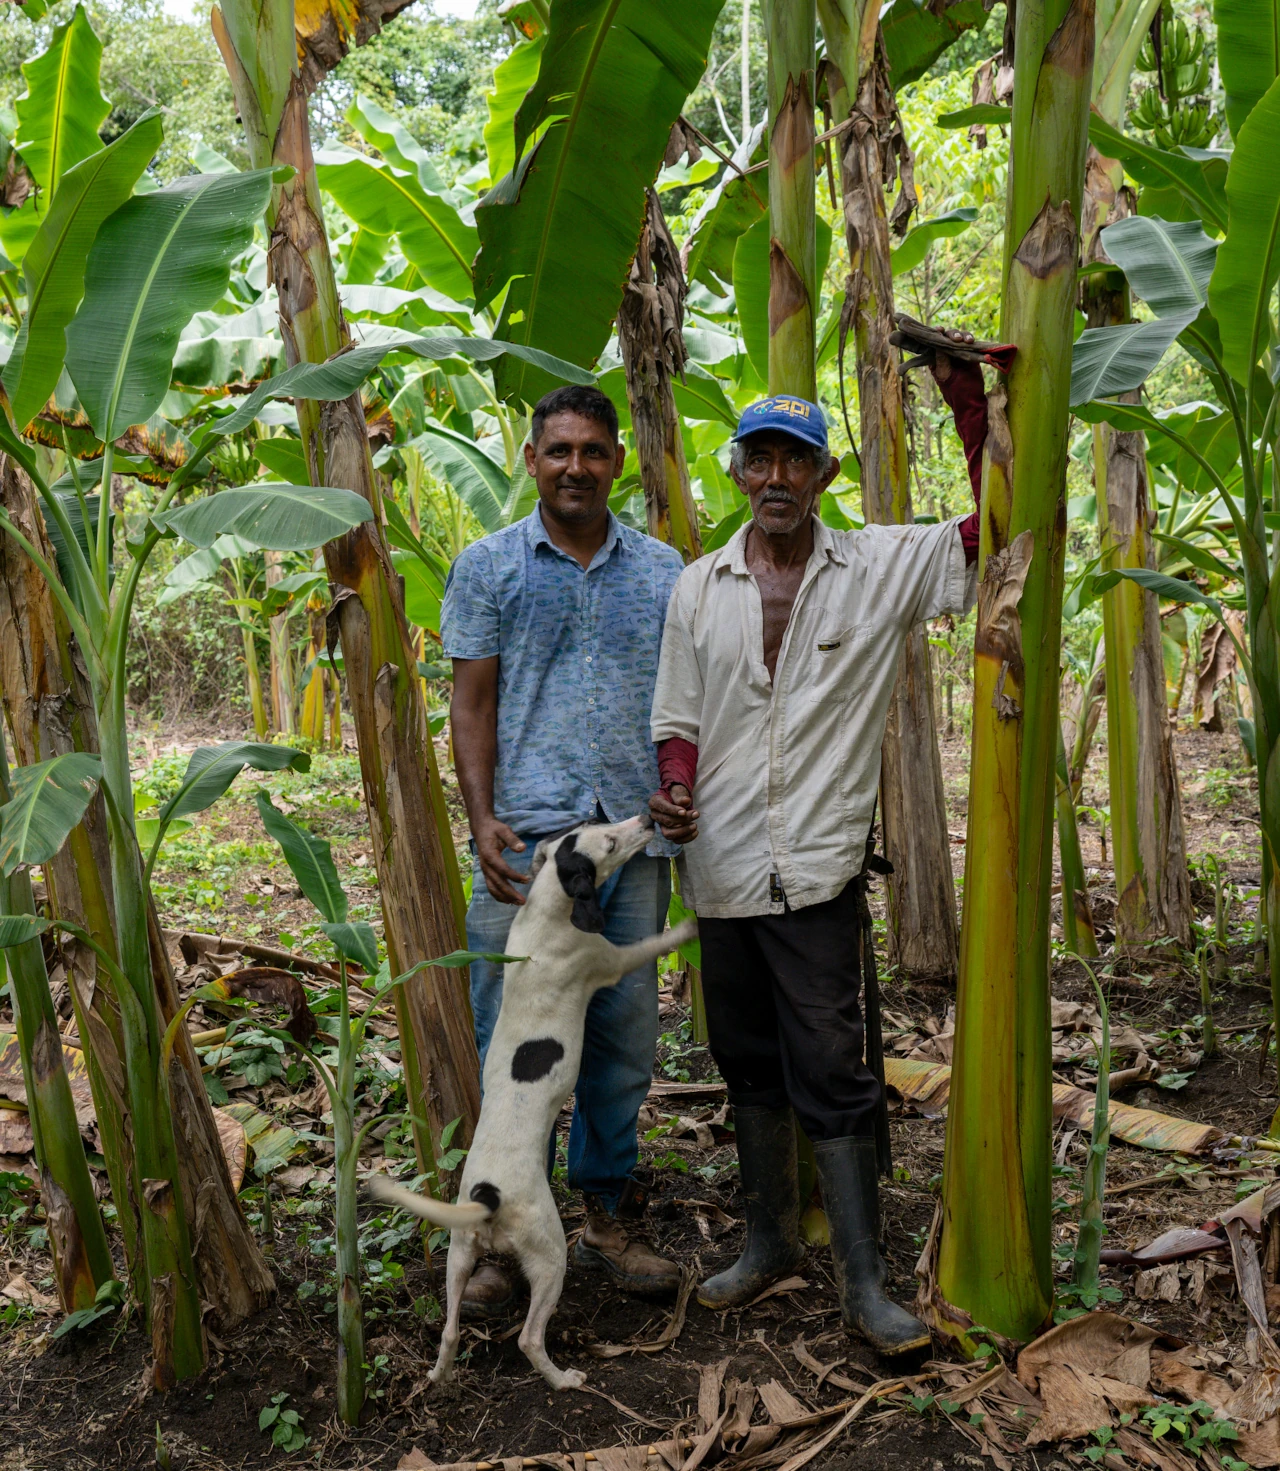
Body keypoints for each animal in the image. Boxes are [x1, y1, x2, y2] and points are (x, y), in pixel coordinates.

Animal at [370, 817, 697, 1388]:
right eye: (609, 841)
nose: (646, 820)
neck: (547, 903)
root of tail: (487, 1195)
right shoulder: (611, 959)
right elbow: (655, 941)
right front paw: (690, 927)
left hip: (458, 1258)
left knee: (450, 1330)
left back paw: (440, 1376)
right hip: (548, 1256)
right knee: (527, 1337)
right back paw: (563, 1379)